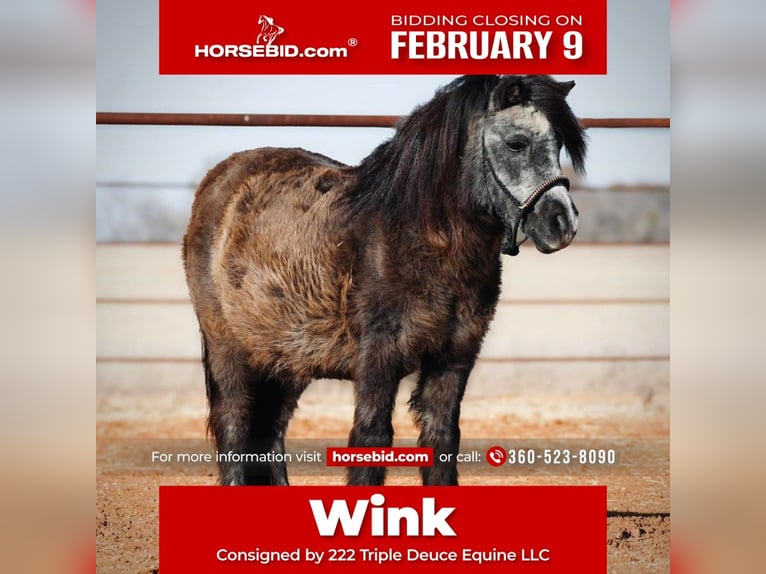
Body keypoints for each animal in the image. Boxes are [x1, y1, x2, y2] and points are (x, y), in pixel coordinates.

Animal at [183, 75, 587, 486]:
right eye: (516, 143)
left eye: (558, 145)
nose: (562, 223)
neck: (421, 237)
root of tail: (218, 182)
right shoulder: (378, 357)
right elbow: (372, 435)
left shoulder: (455, 357)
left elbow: (442, 435)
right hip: (229, 349)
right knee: (234, 422)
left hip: (285, 358)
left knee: (272, 429)